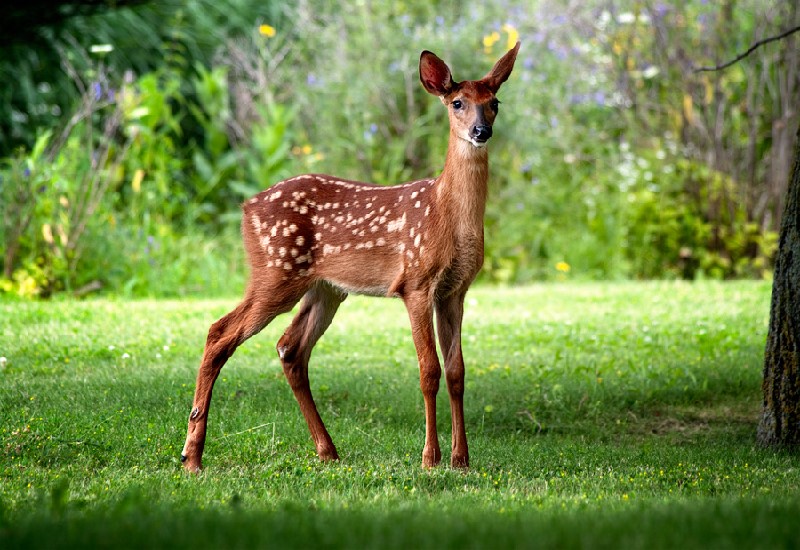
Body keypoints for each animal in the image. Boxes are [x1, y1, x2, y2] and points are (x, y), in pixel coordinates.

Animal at [180, 44, 520, 474]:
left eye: (494, 103)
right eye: (457, 102)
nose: (481, 131)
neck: (447, 214)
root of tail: (245, 208)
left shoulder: (455, 290)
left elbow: (457, 371)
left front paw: (461, 459)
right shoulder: (415, 281)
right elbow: (429, 369)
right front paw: (430, 458)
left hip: (325, 289)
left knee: (290, 348)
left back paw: (327, 450)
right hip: (275, 272)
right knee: (219, 332)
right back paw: (192, 456)